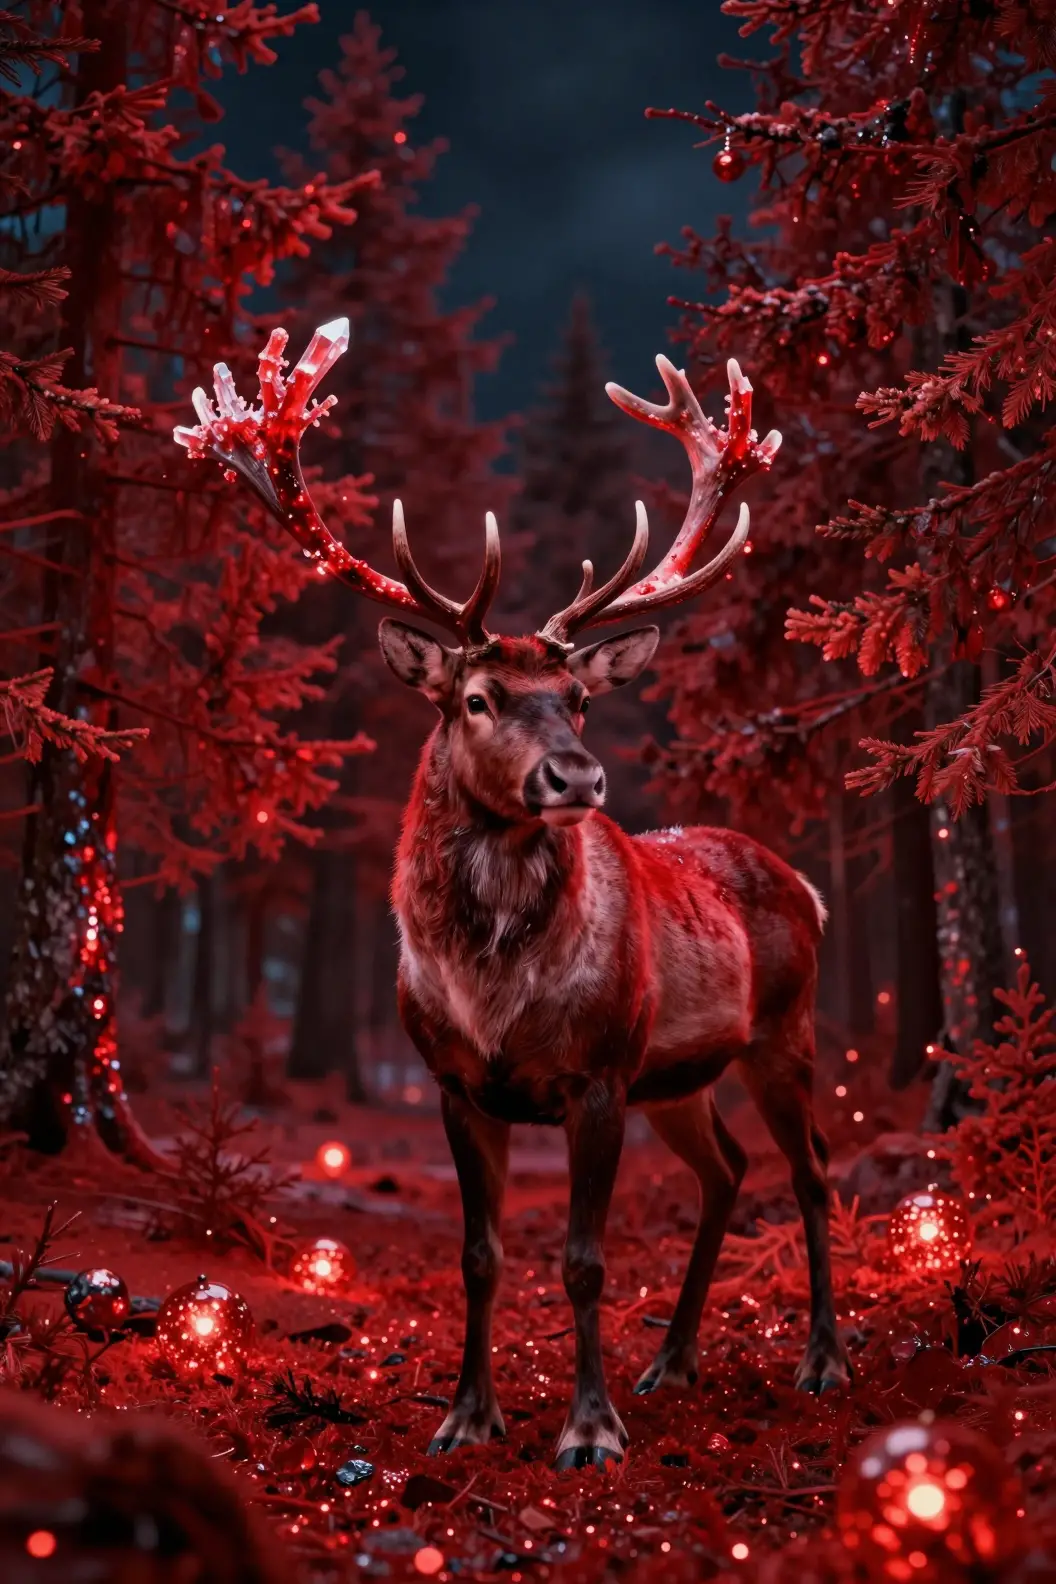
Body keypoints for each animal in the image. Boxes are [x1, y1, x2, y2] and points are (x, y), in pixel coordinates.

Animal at [175, 319, 851, 1471]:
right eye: (479, 697)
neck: (494, 989)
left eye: (577, 696)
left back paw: (820, 1361)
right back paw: (673, 1361)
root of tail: (803, 884)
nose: (576, 779)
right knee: (726, 1171)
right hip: (679, 1079)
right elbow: (480, 1256)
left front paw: (589, 1432)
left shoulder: (598, 1074)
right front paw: (466, 1417)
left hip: (785, 1032)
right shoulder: (456, 1083)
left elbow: (582, 1259)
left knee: (809, 1173)